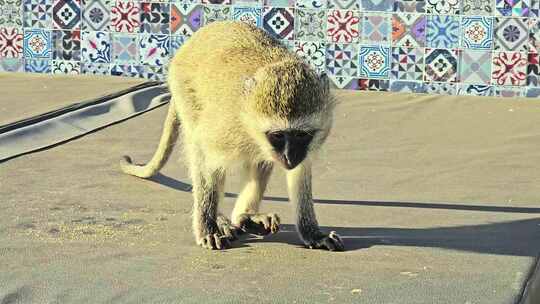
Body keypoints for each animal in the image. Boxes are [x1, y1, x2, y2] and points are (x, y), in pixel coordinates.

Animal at [120, 20, 344, 251]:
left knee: (260, 162)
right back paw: (220, 220)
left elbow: (299, 172)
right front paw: (208, 227)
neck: (249, 125)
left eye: (301, 135)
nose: (289, 156)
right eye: (278, 135)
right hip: (184, 91)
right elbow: (202, 155)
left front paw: (312, 233)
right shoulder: (222, 129)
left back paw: (245, 217)